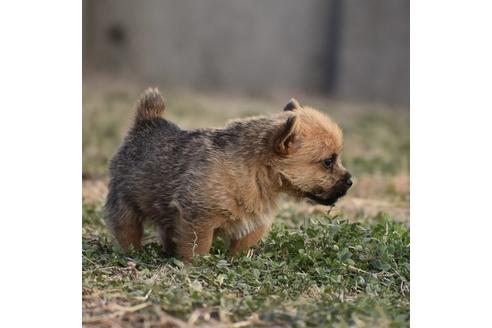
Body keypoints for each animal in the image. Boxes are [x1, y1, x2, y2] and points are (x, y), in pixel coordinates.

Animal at [105, 88, 352, 262]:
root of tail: (147, 121)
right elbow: (198, 245)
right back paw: (134, 252)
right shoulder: (199, 217)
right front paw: (195, 264)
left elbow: (242, 245)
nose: (350, 181)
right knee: (127, 229)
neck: (255, 172)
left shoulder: (254, 222)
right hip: (124, 202)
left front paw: (237, 262)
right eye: (328, 162)